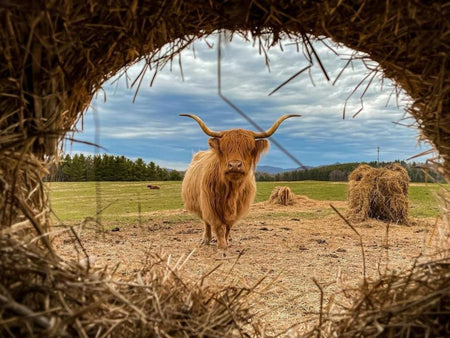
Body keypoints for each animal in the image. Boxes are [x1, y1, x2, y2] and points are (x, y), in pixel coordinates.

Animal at [179, 113, 298, 256]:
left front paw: (226, 241)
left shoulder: (238, 207)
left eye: (249, 148)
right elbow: (218, 226)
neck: (231, 189)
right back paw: (206, 239)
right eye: (224, 148)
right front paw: (221, 246)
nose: (235, 165)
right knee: (206, 222)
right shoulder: (210, 205)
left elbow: (228, 226)